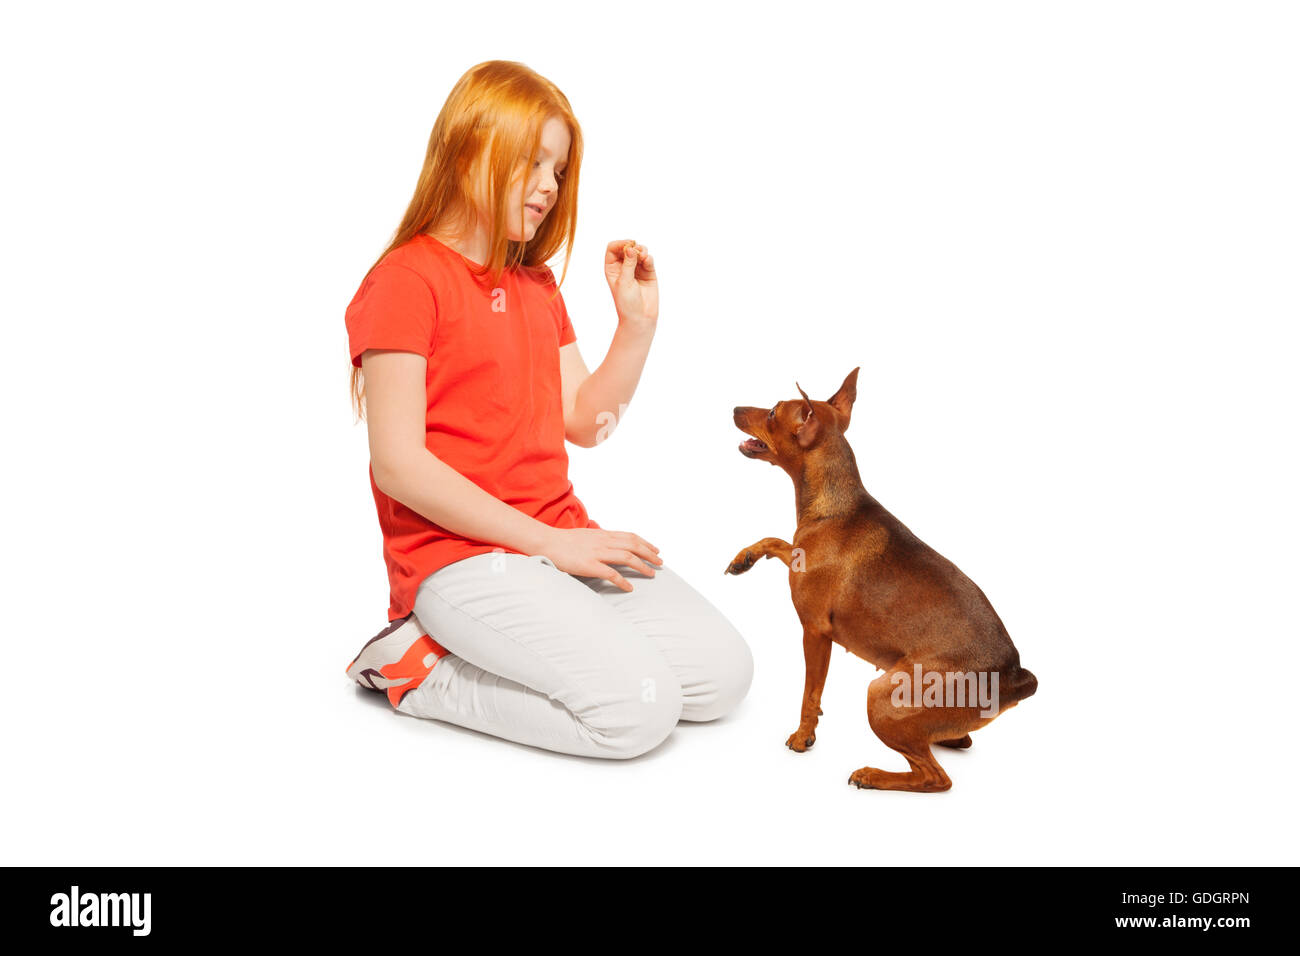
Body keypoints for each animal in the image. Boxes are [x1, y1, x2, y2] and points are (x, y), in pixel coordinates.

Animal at [722, 369, 1034, 790]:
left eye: (772, 411)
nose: (735, 408)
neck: (835, 505)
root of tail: (1014, 675)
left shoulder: (815, 631)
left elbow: (810, 693)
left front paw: (803, 736)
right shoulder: (799, 555)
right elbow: (778, 542)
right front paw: (745, 557)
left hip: (882, 695)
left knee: (934, 778)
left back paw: (872, 775)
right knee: (956, 741)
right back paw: (947, 738)